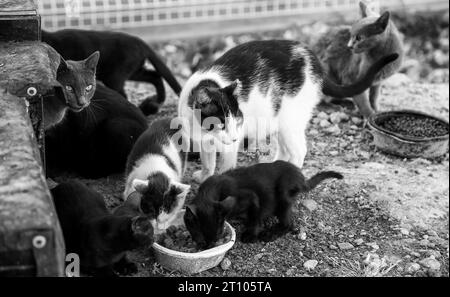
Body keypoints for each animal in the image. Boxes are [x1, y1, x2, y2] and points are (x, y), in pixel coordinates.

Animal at [42, 28, 183, 114]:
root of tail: (139, 41)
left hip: (115, 77)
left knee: (125, 94)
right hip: (133, 72)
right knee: (155, 76)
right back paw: (154, 103)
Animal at [178, 39, 400, 182]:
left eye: (237, 121)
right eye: (222, 123)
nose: (233, 137)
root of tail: (315, 61)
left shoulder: (230, 146)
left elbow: (225, 165)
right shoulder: (203, 141)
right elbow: (207, 161)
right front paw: (204, 176)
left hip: (289, 122)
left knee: (299, 151)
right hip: (276, 121)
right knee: (284, 151)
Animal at [185, 160, 342, 245]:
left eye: (217, 234)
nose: (208, 246)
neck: (211, 190)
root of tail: (300, 177)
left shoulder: (251, 197)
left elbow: (254, 218)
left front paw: (250, 235)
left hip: (283, 195)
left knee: (289, 224)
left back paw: (269, 234)